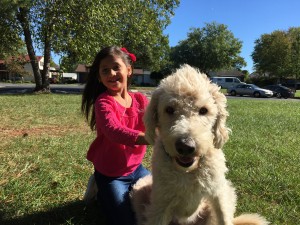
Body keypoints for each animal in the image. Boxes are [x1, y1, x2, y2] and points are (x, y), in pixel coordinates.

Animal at [130, 64, 268, 225]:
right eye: (169, 109)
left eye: (204, 110)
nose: (185, 146)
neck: (188, 171)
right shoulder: (160, 204)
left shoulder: (218, 193)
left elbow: (224, 217)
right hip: (140, 189)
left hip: (225, 193)